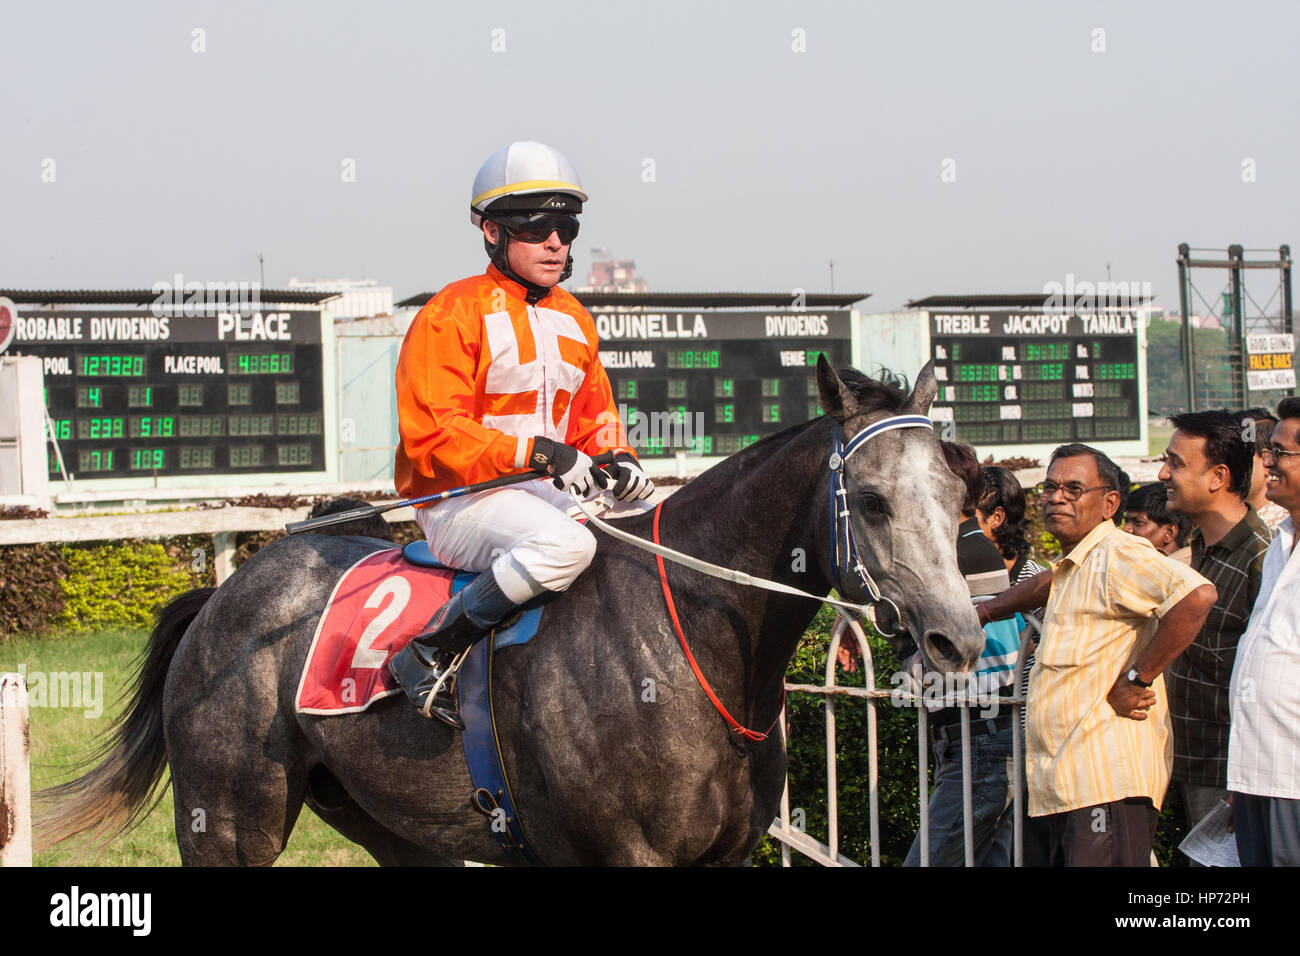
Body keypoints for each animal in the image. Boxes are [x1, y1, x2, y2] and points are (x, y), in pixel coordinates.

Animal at [35, 358, 977, 868]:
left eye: (959, 489)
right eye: (874, 500)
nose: (957, 639)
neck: (688, 645)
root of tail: (222, 597)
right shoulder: (623, 855)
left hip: (390, 821)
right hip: (230, 822)